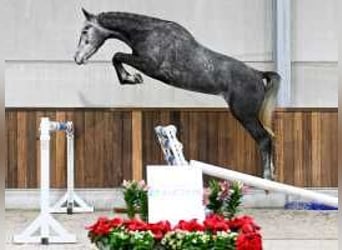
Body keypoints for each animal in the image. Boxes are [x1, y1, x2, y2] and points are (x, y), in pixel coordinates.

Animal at [75, 8, 280, 180]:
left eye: (85, 30)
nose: (77, 58)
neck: (148, 33)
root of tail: (258, 74)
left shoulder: (150, 65)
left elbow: (117, 55)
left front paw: (131, 78)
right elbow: (118, 56)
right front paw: (131, 78)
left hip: (244, 114)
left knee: (264, 139)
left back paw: (267, 178)